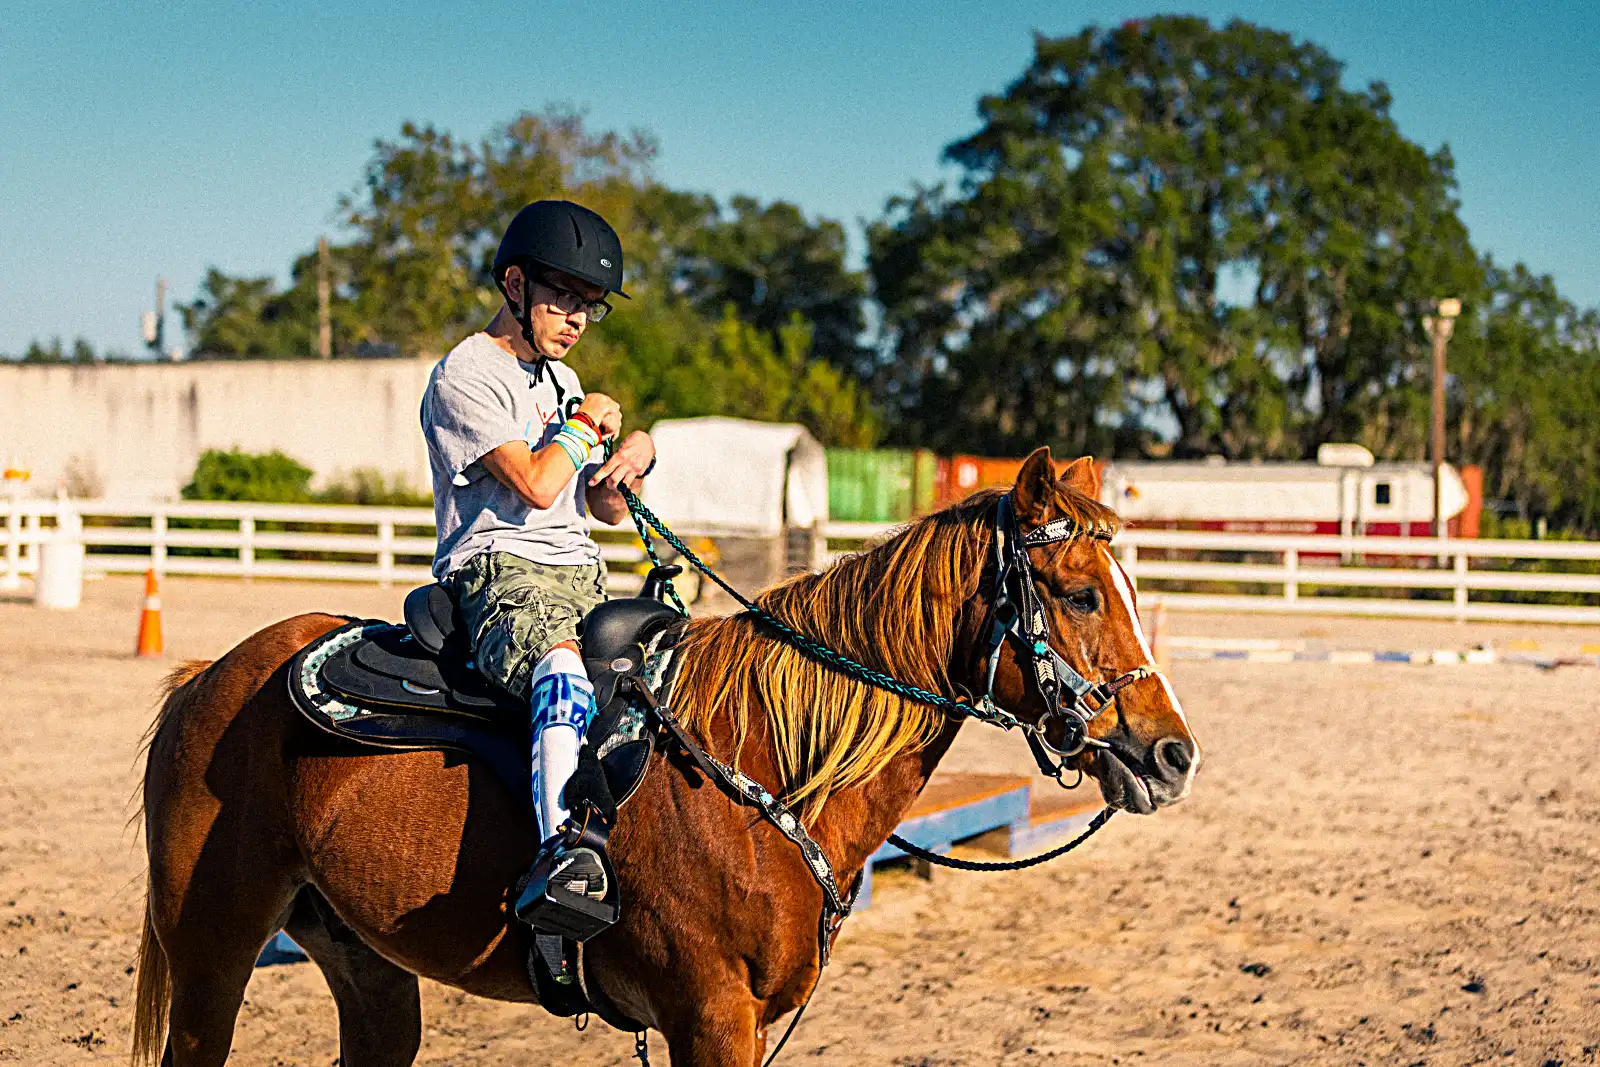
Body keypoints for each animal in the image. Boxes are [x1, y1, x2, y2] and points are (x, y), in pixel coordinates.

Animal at [132, 447, 1200, 1066]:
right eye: (1077, 592)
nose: (1172, 751)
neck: (763, 770)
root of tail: (210, 676)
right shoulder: (710, 1016)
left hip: (367, 964)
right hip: (213, 950)